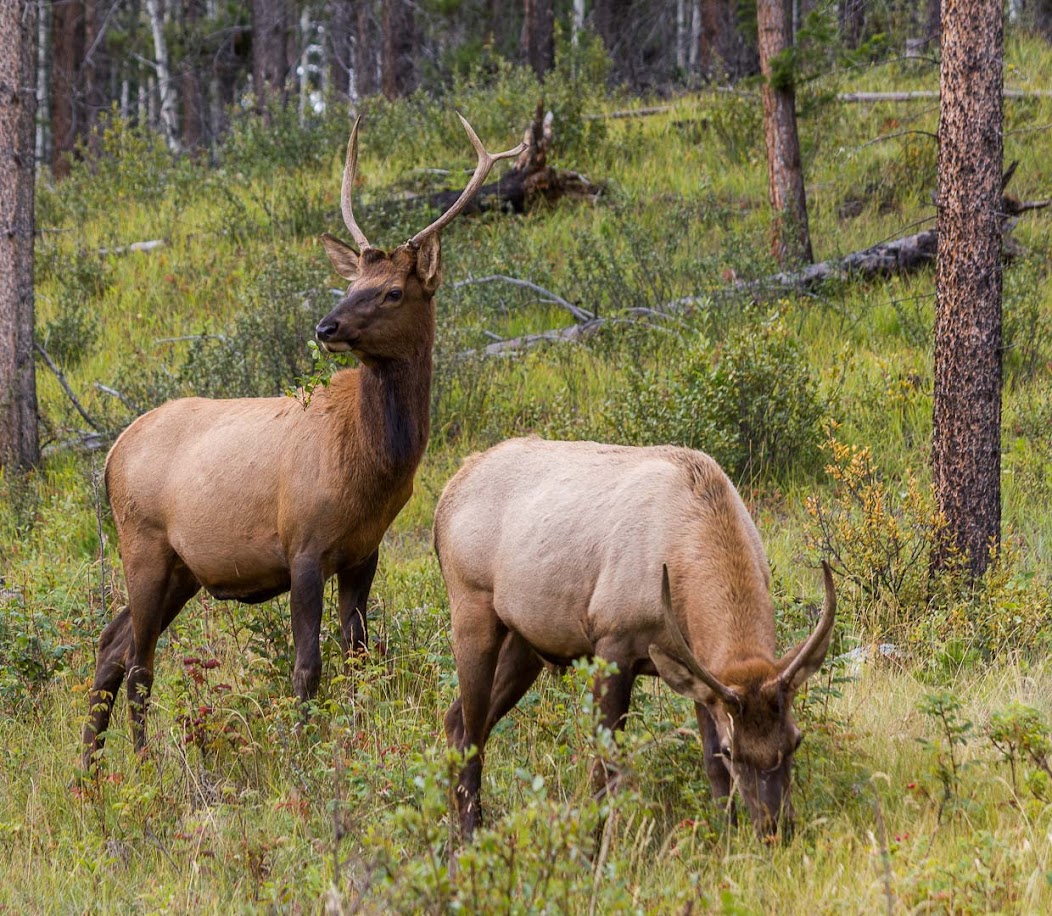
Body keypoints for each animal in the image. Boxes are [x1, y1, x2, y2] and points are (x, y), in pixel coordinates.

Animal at [82, 114, 526, 774]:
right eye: (353, 281)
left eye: (393, 290)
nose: (326, 326)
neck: (373, 466)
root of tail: (111, 455)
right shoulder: (304, 545)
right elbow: (307, 665)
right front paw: (304, 750)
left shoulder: (364, 552)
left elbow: (358, 655)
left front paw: (356, 737)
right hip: (144, 544)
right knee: (139, 661)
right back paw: (140, 763)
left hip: (183, 566)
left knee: (112, 645)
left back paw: (88, 769)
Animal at [435, 439, 837, 841]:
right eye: (732, 750)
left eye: (795, 739)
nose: (775, 829)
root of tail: (445, 500)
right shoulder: (612, 644)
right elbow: (605, 766)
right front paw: (594, 847)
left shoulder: (699, 670)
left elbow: (710, 767)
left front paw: (724, 836)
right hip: (471, 609)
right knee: (471, 734)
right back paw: (469, 837)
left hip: (524, 642)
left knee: (458, 719)